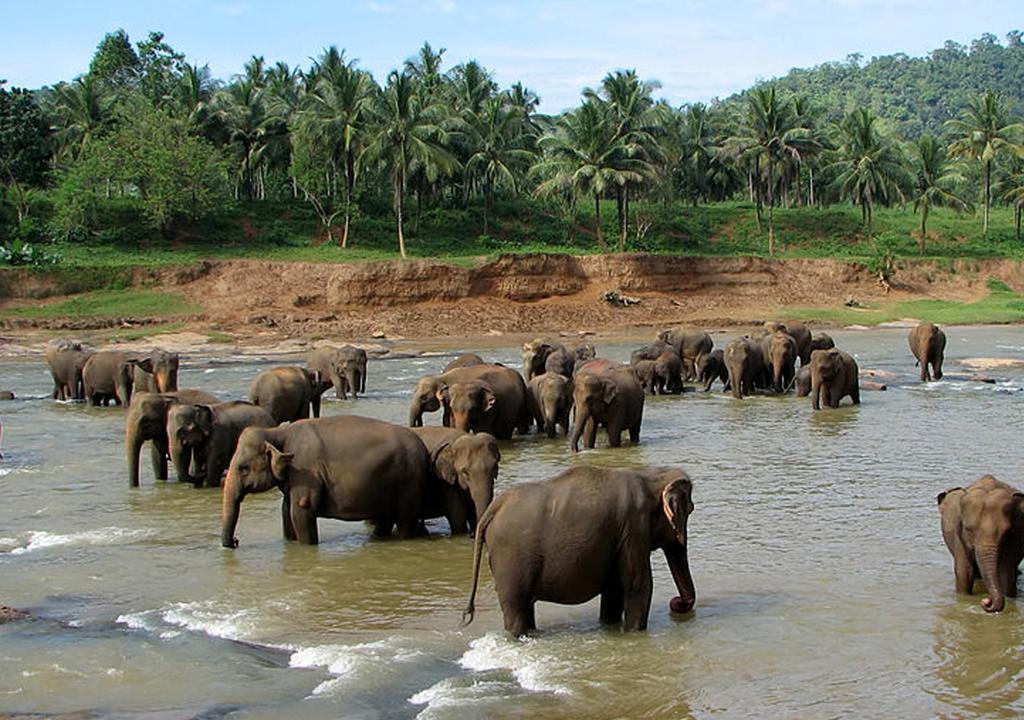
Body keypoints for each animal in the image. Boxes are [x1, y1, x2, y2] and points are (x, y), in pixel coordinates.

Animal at [222, 413, 430, 548]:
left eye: (243, 468)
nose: (236, 541)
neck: (277, 433)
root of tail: (423, 448)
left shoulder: (305, 470)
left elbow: (301, 510)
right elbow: (286, 511)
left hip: (409, 482)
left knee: (404, 521)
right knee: (385, 520)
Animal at [464, 462, 696, 634]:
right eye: (691, 510)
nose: (676, 602)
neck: (651, 474)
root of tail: (493, 508)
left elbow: (614, 590)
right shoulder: (634, 527)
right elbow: (638, 585)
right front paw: (633, 633)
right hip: (511, 561)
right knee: (516, 609)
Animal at [937, 479, 1024, 614]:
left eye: (1006, 531)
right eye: (968, 529)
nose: (986, 601)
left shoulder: (1016, 535)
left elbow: (1005, 573)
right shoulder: (959, 536)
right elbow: (964, 572)